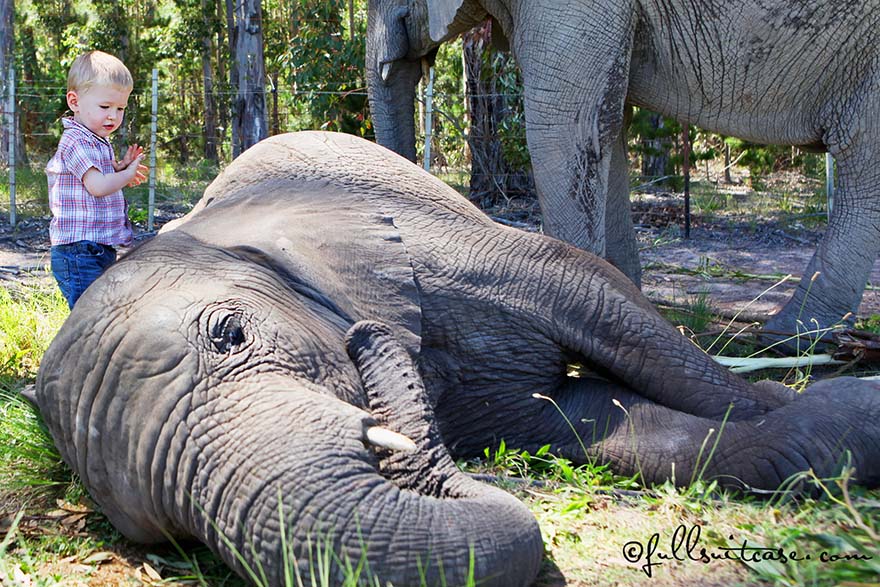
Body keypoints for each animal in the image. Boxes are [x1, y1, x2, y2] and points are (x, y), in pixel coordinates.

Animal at [36, 133, 880, 587]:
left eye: (231, 334)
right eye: (169, 535)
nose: (366, 342)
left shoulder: (429, 247)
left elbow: (593, 293)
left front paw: (841, 406)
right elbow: (585, 425)